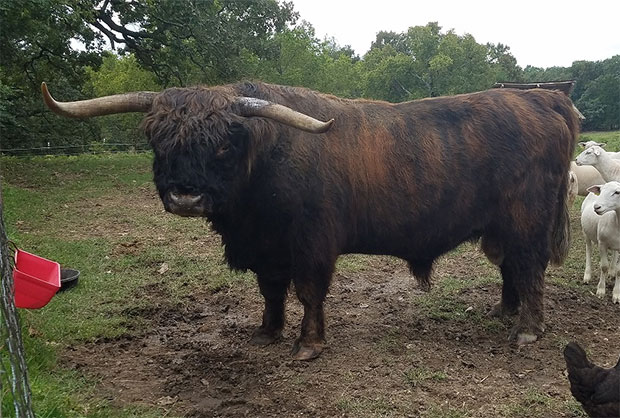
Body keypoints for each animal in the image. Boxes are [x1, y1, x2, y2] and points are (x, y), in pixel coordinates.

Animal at [41, 81, 580, 360]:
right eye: (160, 140)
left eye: (223, 144)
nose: (185, 194)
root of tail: (540, 97)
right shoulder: (267, 248)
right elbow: (271, 291)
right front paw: (268, 331)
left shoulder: (312, 243)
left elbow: (308, 292)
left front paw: (308, 343)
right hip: (502, 226)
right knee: (511, 267)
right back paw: (505, 311)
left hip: (527, 220)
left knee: (529, 269)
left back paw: (527, 329)